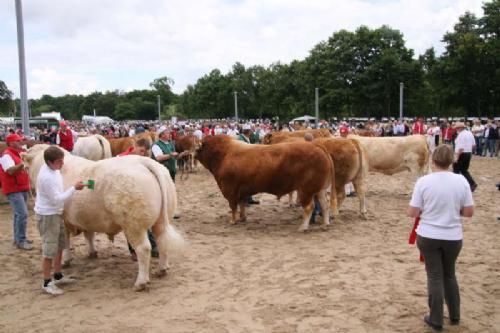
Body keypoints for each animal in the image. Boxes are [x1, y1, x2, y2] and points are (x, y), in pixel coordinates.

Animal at [195, 134, 336, 230]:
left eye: (197, 149)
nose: (192, 154)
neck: (223, 155)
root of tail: (315, 145)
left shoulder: (230, 190)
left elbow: (233, 207)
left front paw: (233, 221)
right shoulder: (241, 191)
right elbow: (242, 204)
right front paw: (242, 218)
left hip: (306, 190)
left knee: (309, 207)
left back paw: (303, 227)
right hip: (319, 189)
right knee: (324, 205)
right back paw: (325, 224)